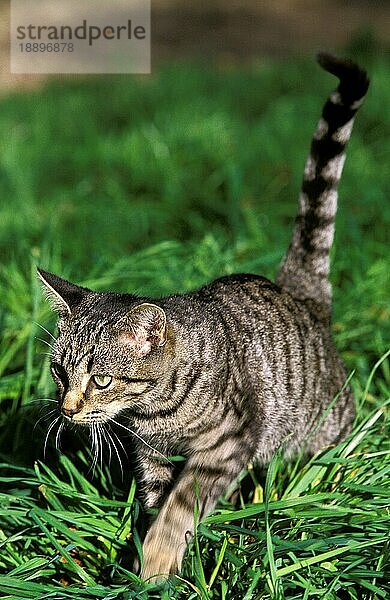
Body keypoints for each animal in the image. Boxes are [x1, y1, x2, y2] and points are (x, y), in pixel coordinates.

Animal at [37, 54, 368, 580]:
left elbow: (182, 504)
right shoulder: (152, 455)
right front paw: (158, 562)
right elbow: (159, 501)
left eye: (102, 380)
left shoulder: (230, 438)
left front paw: (157, 559)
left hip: (323, 428)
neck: (153, 411)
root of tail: (300, 292)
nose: (67, 409)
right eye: (58, 371)